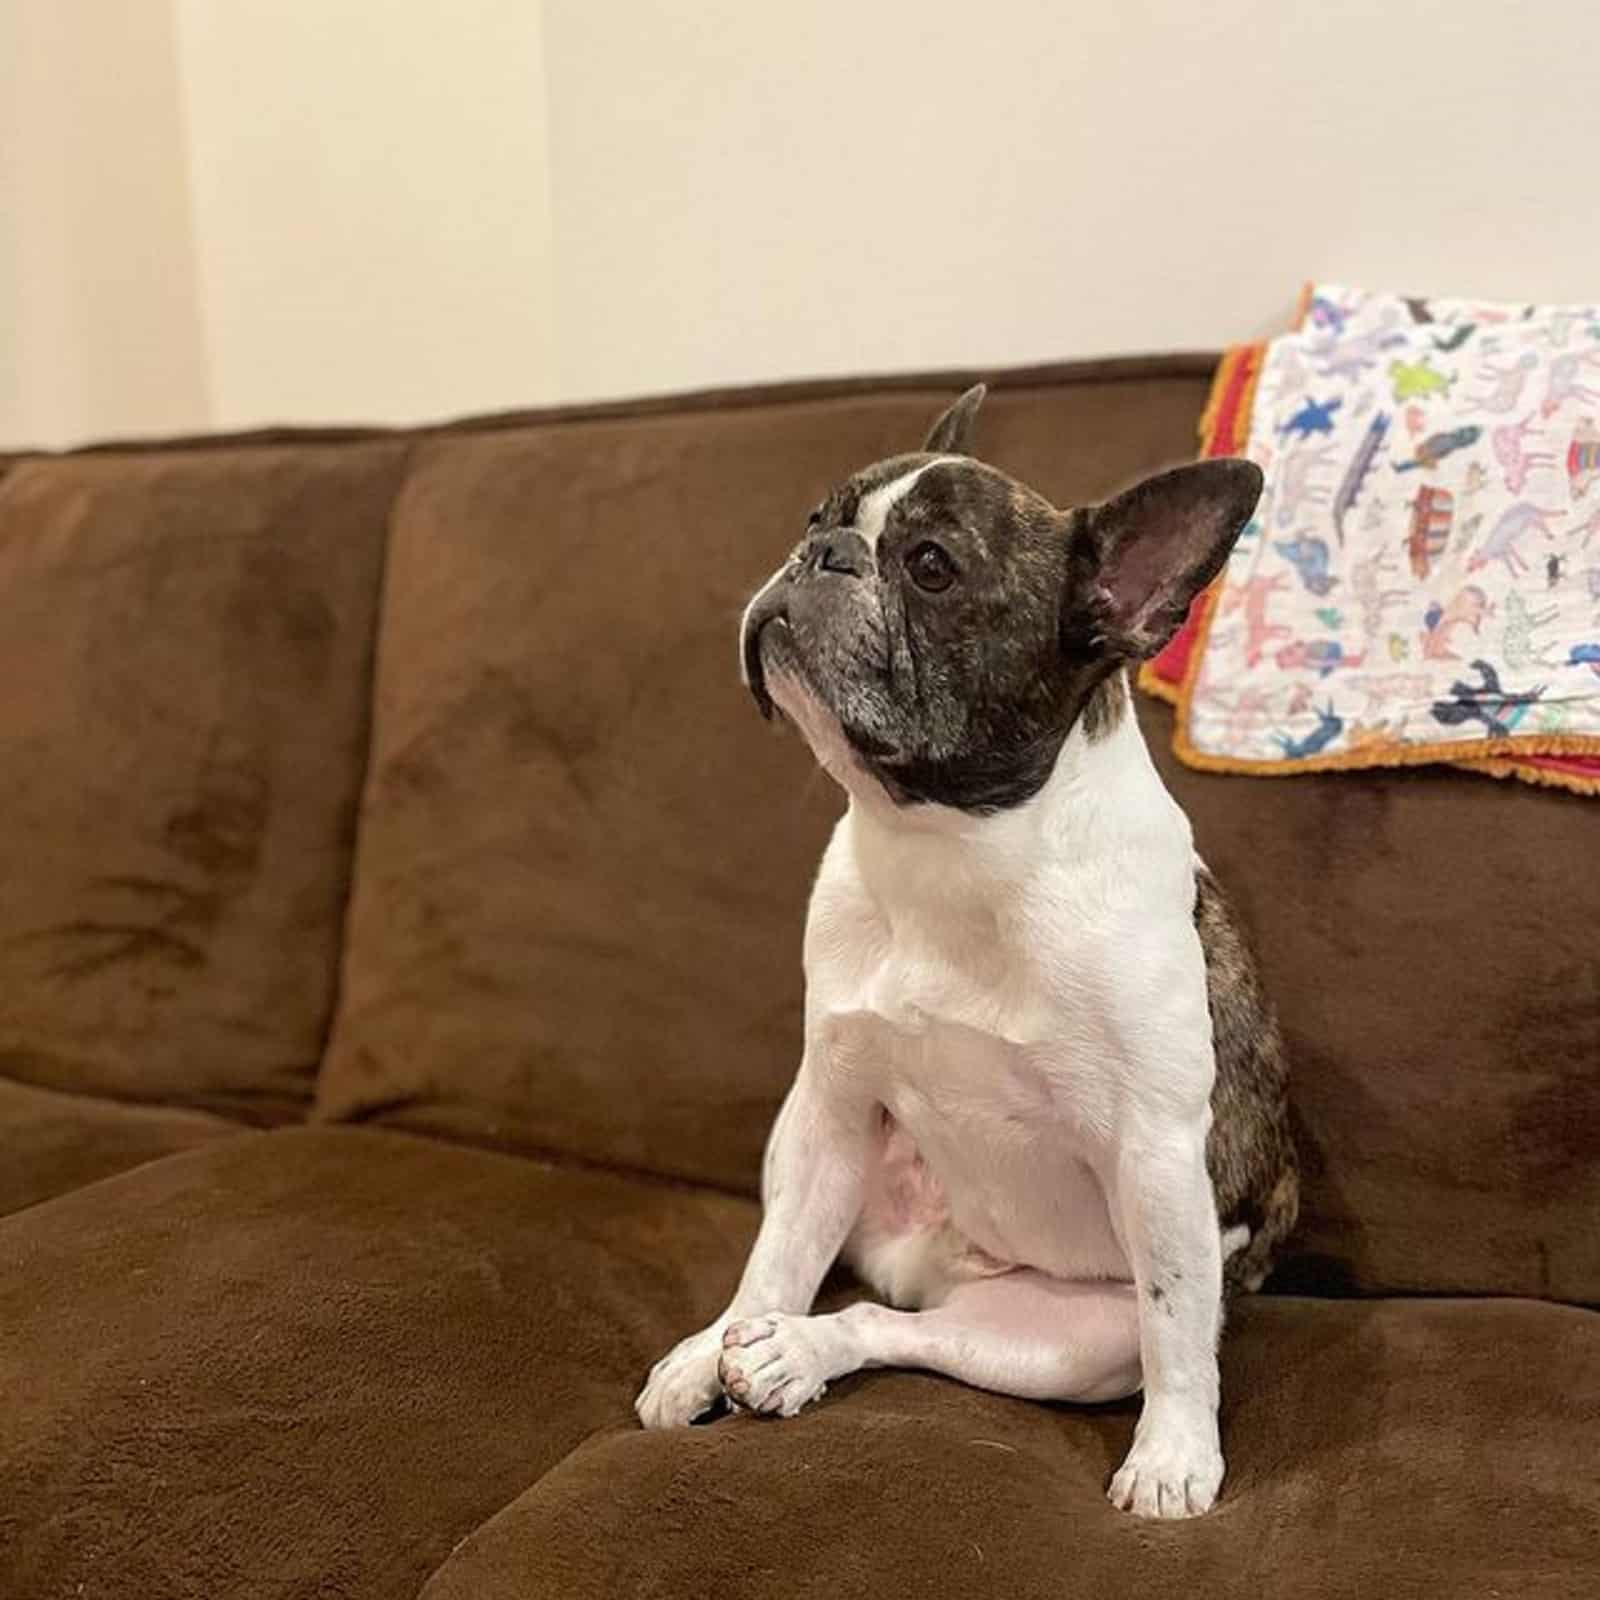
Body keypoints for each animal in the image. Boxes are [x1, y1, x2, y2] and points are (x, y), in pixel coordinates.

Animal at [630, 390, 1292, 1523]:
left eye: (931, 567)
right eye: (817, 515)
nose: (819, 553)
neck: (946, 845)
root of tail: (925, 1263)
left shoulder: (1158, 1157)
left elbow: (1174, 1323)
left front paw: (1172, 1455)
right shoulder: (832, 1106)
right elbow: (774, 1259)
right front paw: (707, 1351)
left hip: (1069, 1339)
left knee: (910, 1330)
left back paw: (798, 1355)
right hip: (802, 1143)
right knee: (845, 1294)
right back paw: (753, 1350)